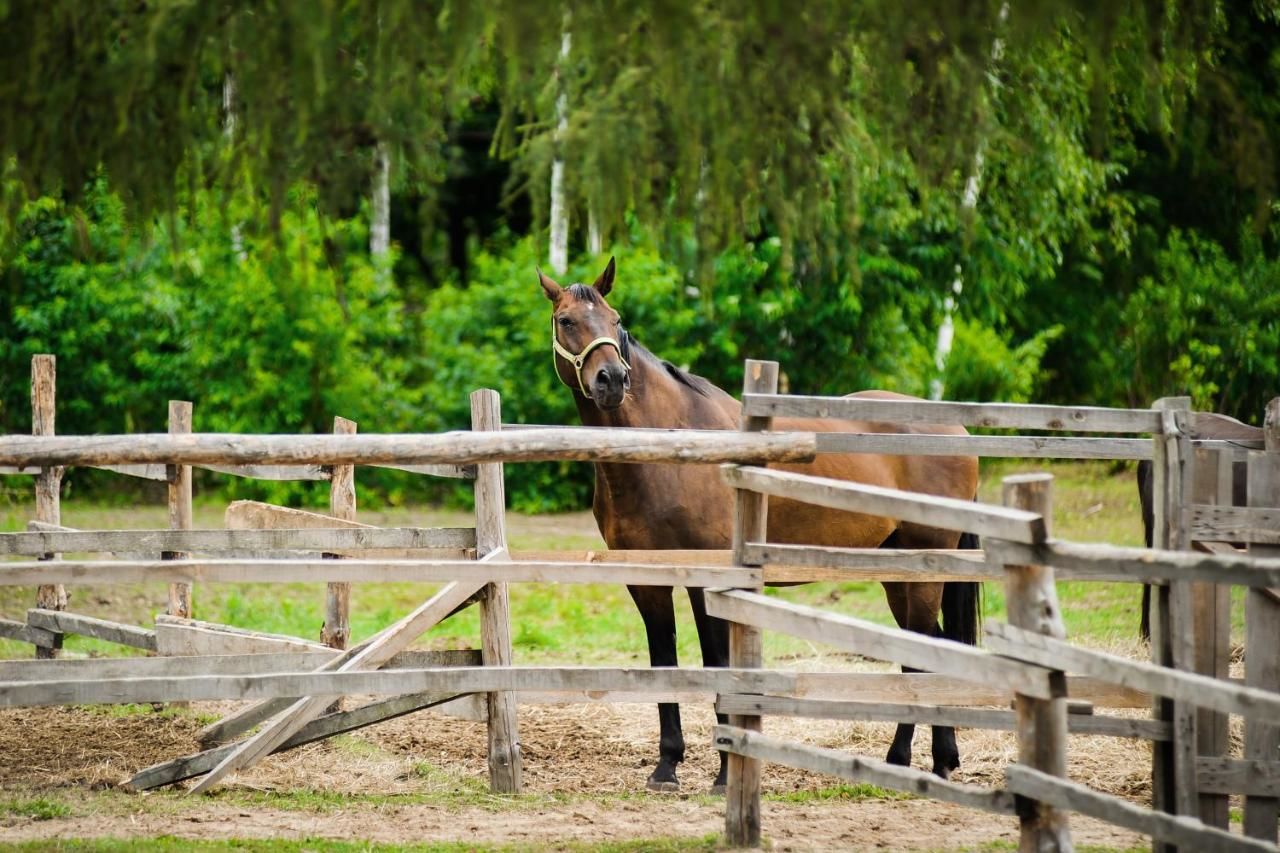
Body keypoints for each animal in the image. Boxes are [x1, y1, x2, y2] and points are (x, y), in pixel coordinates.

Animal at [537, 257, 977, 788]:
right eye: (566, 320)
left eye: (615, 319)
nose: (612, 380)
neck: (670, 452)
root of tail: (958, 431)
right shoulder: (646, 580)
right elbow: (664, 660)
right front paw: (667, 766)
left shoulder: (709, 579)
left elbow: (717, 663)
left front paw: (726, 773)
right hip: (897, 571)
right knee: (932, 646)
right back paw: (941, 760)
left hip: (923, 566)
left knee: (923, 654)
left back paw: (900, 759)